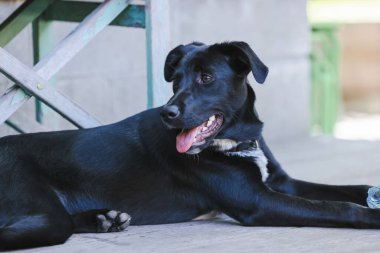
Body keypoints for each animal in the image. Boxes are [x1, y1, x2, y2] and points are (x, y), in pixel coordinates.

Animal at [0, 42, 380, 250]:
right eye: (175, 80)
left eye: (206, 77)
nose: (168, 113)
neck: (237, 139)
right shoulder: (256, 201)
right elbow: (334, 207)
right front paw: (371, 217)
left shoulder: (280, 182)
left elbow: (350, 189)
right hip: (39, 207)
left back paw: (105, 219)